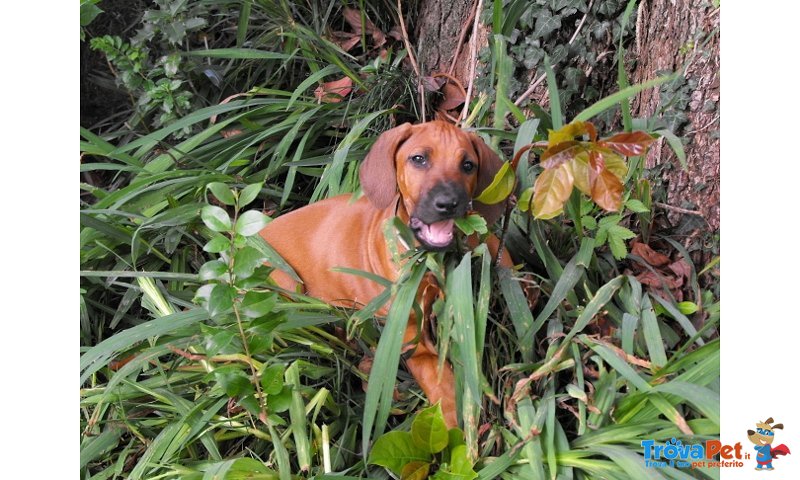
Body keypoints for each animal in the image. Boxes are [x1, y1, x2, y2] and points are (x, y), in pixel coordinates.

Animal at [262, 121, 512, 428]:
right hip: (284, 285)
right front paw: (459, 430)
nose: (448, 203)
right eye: (419, 159)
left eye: (468, 165)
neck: (433, 260)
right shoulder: (409, 336)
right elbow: (440, 381)